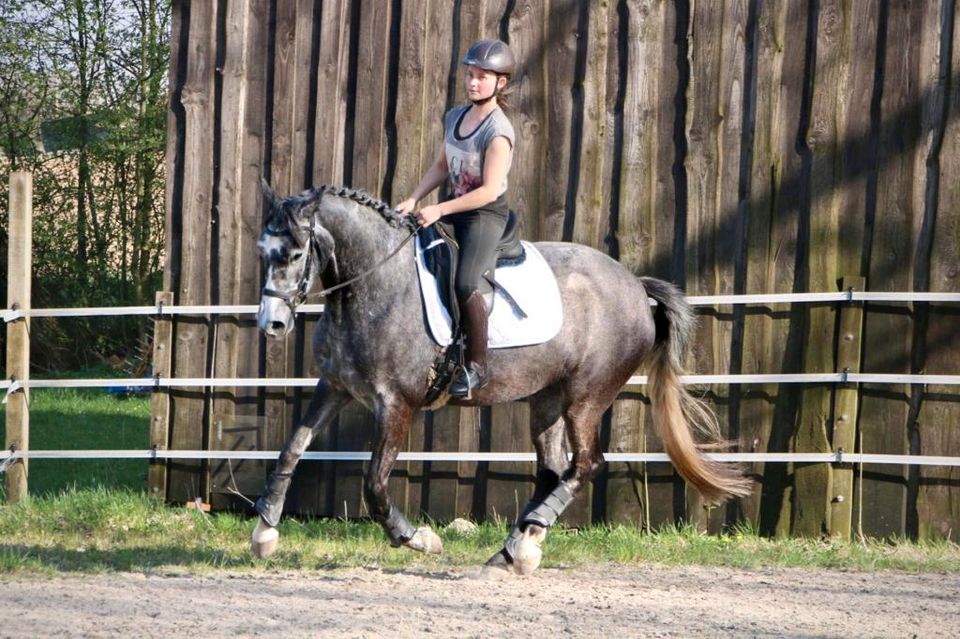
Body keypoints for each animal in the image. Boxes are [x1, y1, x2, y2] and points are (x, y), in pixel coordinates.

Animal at [249, 181, 752, 576]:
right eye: (262, 252)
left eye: (295, 253)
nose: (271, 325)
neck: (374, 284)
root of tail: (633, 285)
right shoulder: (334, 388)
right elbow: (291, 449)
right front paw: (264, 532)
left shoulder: (396, 404)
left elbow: (374, 484)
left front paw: (418, 539)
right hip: (546, 400)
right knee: (553, 471)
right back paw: (517, 549)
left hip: (586, 398)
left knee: (585, 464)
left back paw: (519, 546)